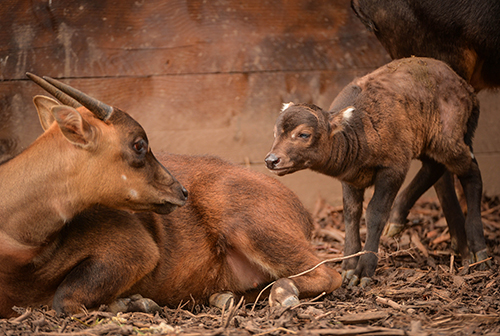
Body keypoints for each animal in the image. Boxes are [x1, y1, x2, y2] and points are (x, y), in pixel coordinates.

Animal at [0, 74, 340, 318]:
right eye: (139, 144)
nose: (181, 191)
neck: (25, 250)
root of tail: (302, 212)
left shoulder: (135, 250)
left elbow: (65, 300)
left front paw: (135, 303)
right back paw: (224, 296)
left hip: (249, 226)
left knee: (328, 273)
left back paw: (280, 294)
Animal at [266, 56, 488, 288]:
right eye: (275, 133)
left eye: (303, 134)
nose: (272, 160)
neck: (360, 132)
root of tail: (467, 89)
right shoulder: (350, 177)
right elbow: (351, 213)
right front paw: (347, 268)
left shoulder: (394, 168)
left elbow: (375, 213)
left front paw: (363, 272)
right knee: (435, 167)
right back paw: (398, 222)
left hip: (448, 140)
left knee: (471, 173)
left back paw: (478, 249)